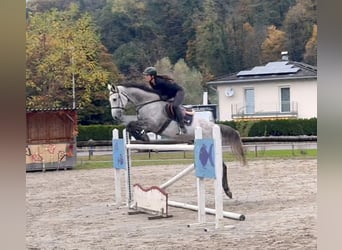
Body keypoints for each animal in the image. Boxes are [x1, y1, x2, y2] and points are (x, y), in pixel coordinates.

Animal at [107, 83, 246, 198]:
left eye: (114, 99)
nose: (115, 117)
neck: (148, 103)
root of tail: (214, 126)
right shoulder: (148, 125)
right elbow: (130, 126)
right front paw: (141, 136)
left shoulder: (153, 124)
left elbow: (131, 124)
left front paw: (142, 137)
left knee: (223, 166)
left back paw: (228, 191)